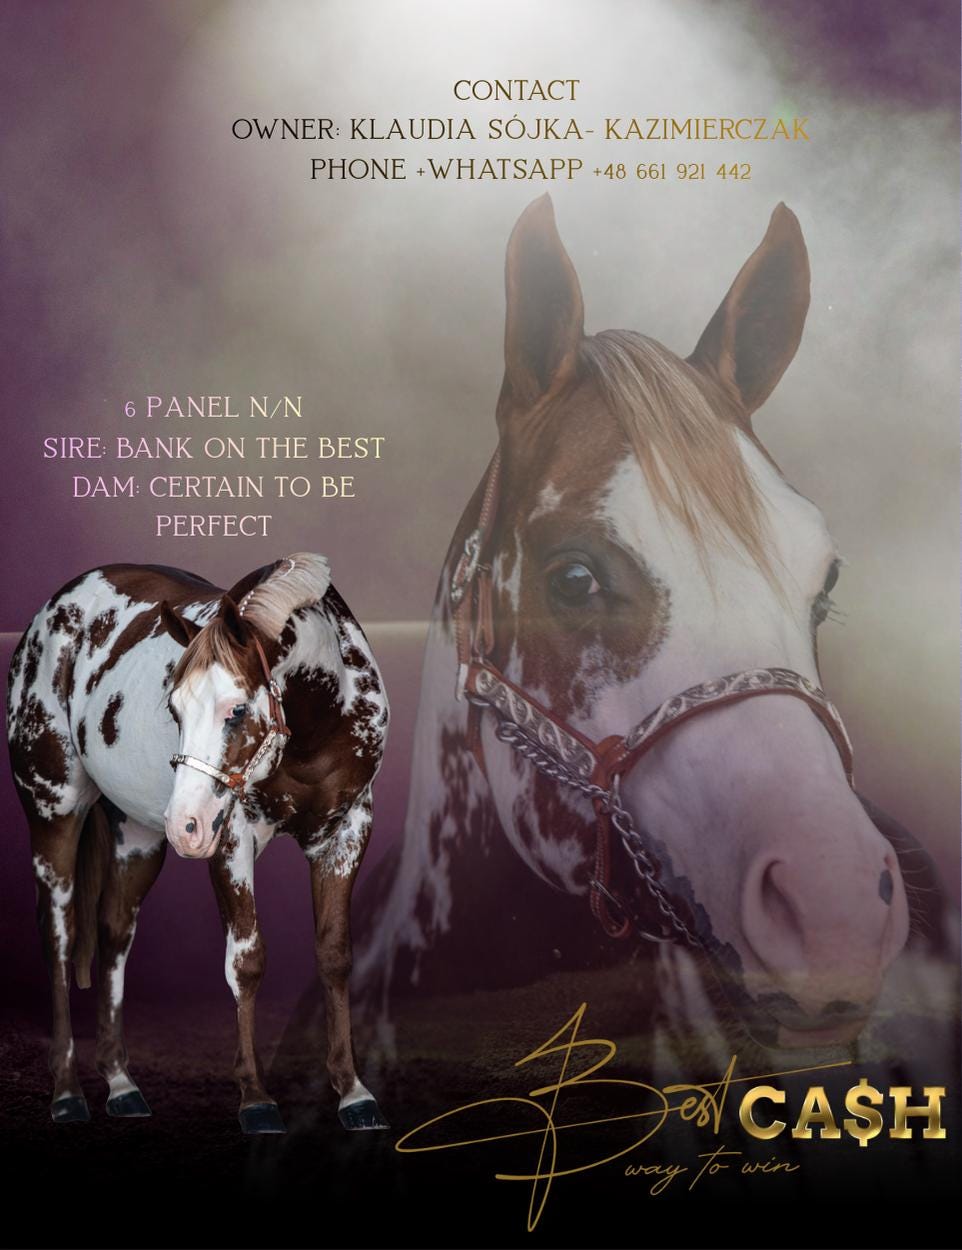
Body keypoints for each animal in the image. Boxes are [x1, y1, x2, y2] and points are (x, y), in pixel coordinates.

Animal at [6, 552, 390, 1134]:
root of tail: (48, 615)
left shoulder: (346, 831)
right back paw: (68, 1093)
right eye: (175, 710)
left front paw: (353, 1092)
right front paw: (255, 1099)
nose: (185, 824)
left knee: (115, 933)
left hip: (137, 836)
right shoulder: (232, 840)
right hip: (54, 814)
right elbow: (246, 962)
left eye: (236, 710)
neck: (317, 726)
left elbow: (335, 956)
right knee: (59, 938)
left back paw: (122, 1085)